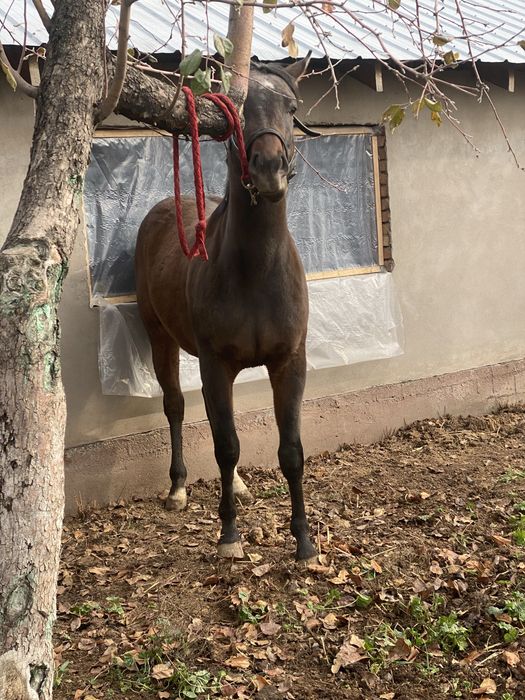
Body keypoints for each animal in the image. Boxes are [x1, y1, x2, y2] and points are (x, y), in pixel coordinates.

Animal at [135, 57, 317, 562]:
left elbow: (290, 451)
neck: (255, 270)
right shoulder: (217, 364)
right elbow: (226, 446)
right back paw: (177, 489)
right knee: (176, 406)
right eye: (237, 110)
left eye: (291, 107)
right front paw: (229, 535)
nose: (269, 168)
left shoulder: (289, 363)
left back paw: (234, 487)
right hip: (160, 338)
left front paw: (303, 540)